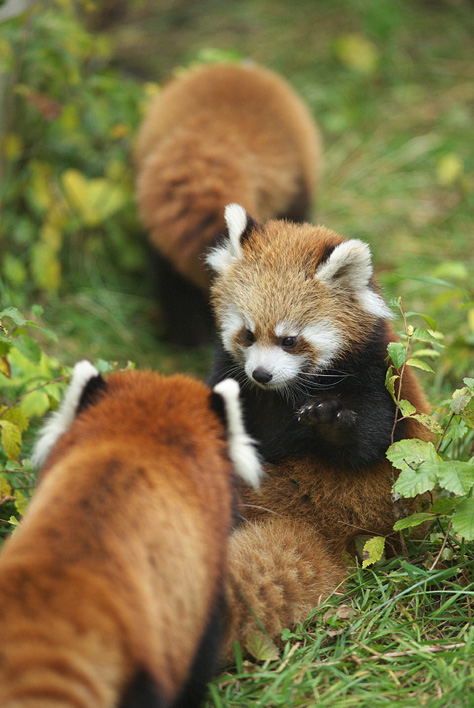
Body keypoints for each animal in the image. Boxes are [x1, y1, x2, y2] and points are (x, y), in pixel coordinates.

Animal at [206, 205, 436, 660]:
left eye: (289, 340)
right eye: (248, 334)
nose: (261, 374)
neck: (280, 396)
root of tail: (314, 525)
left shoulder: (375, 377)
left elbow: (370, 442)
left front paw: (329, 419)